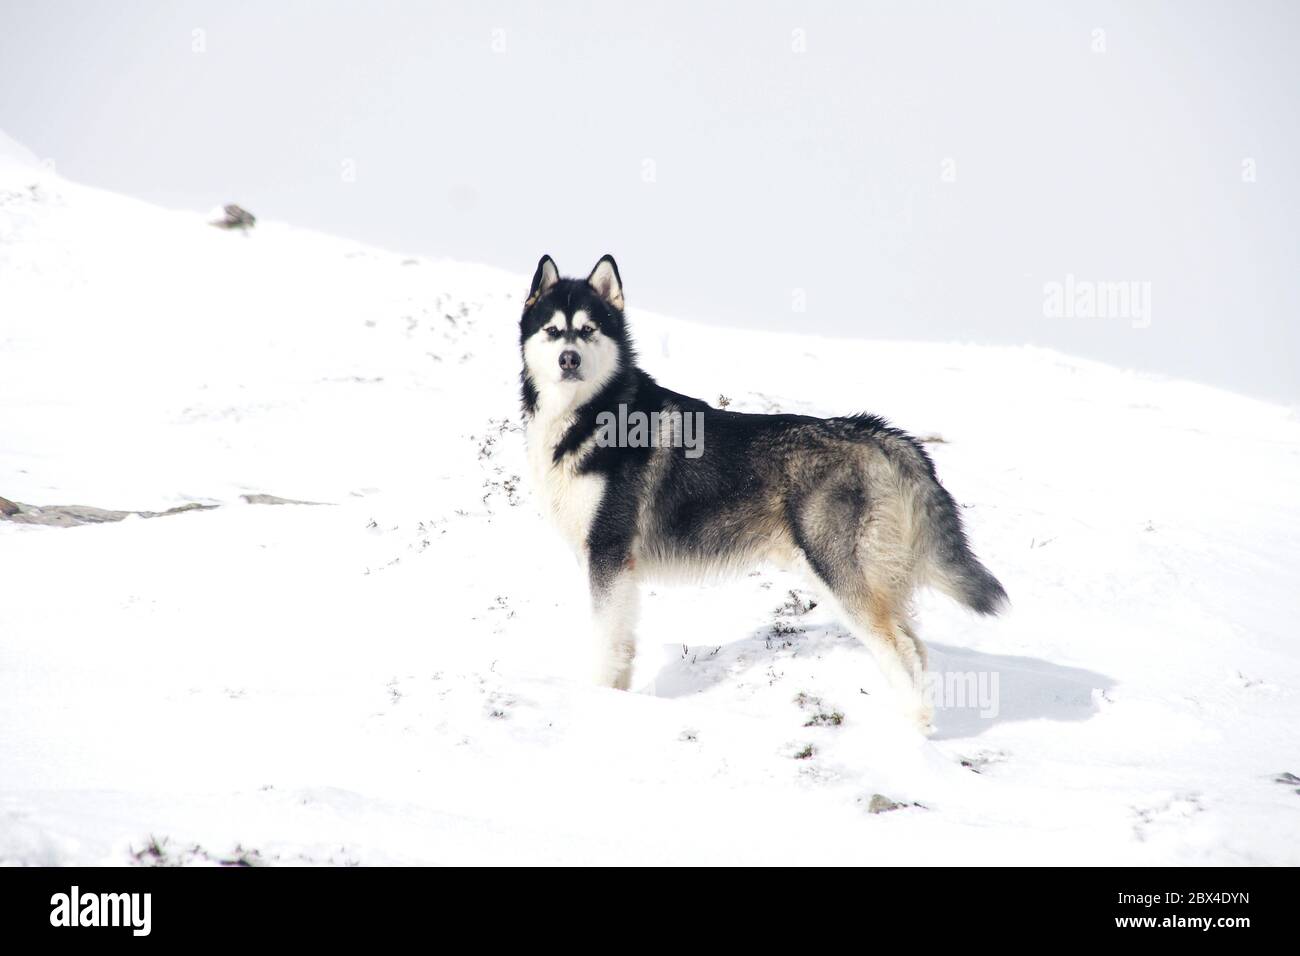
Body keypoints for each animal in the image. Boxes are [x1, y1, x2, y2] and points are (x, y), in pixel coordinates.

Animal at [517, 256, 1003, 733]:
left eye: (588, 329)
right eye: (553, 330)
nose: (568, 360)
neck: (592, 417)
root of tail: (879, 434)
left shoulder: (609, 553)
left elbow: (605, 644)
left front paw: (599, 699)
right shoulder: (616, 566)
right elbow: (622, 645)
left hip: (839, 570)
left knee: (900, 647)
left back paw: (915, 730)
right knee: (915, 646)